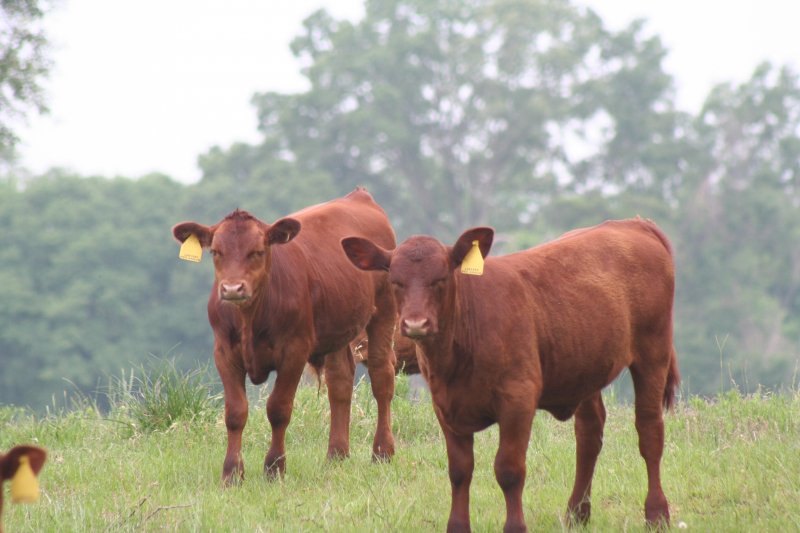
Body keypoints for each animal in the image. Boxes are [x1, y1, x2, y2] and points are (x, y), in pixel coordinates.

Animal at [172, 188, 397, 484]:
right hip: (338, 325)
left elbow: (278, 409)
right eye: (216, 252)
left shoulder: (294, 352)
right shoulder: (224, 352)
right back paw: (336, 455)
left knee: (382, 377)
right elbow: (235, 412)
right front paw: (232, 473)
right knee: (340, 381)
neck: (250, 318)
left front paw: (274, 467)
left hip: (384, 312)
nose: (232, 288)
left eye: (257, 251)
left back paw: (382, 451)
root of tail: (358, 196)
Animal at [342, 218, 680, 531]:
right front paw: (457, 526)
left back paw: (656, 513)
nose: (415, 324)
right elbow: (459, 471)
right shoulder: (445, 406)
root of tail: (632, 223)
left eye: (441, 278)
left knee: (649, 430)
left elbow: (509, 469)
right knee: (589, 435)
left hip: (653, 351)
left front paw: (515, 525)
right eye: (395, 280)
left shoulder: (518, 400)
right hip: (585, 368)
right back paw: (576, 513)